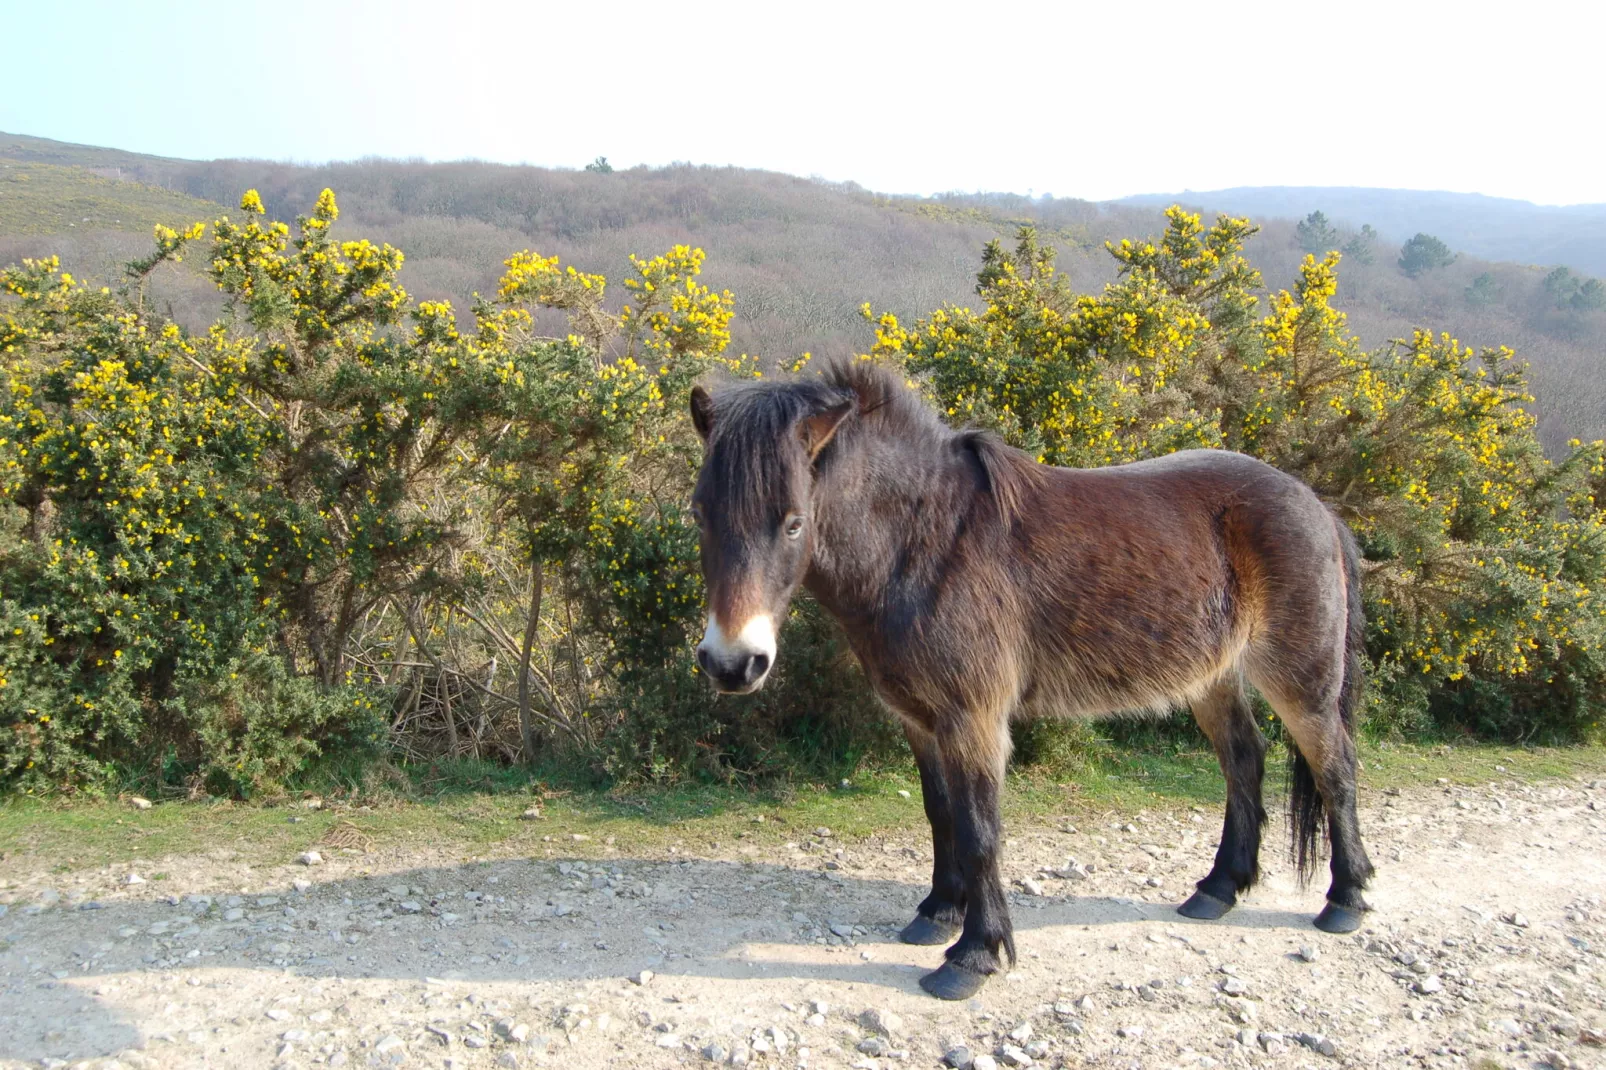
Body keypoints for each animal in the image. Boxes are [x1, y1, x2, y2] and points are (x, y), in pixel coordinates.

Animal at [684, 358, 1374, 1002]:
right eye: (700, 514)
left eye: (793, 522)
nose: (732, 663)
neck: (924, 545)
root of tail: (1316, 505)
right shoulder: (921, 720)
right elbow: (942, 814)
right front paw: (939, 913)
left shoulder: (974, 720)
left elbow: (980, 831)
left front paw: (974, 955)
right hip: (1214, 679)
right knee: (1244, 761)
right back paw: (1218, 889)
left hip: (1300, 680)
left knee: (1335, 768)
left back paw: (1345, 899)